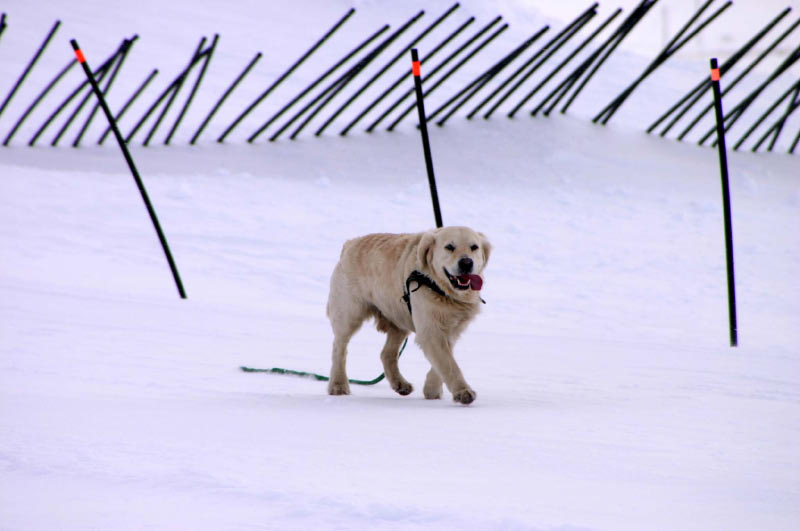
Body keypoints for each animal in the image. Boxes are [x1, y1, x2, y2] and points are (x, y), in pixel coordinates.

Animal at [324, 227, 488, 406]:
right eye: (449, 247)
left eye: (474, 247)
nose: (466, 263)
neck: (440, 289)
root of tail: (350, 243)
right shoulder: (430, 330)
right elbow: (448, 364)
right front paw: (463, 391)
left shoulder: (452, 329)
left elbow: (442, 361)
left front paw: (432, 389)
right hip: (349, 314)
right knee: (339, 348)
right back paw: (338, 385)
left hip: (398, 318)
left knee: (386, 354)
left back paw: (400, 384)